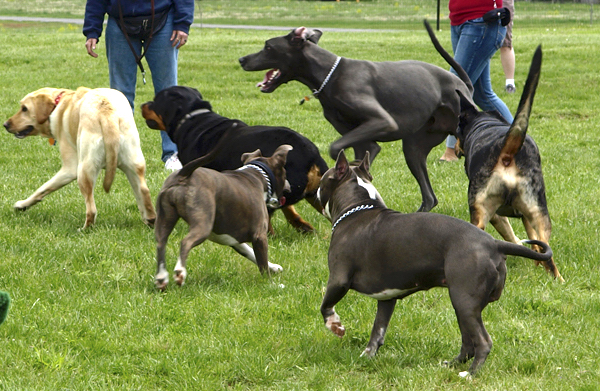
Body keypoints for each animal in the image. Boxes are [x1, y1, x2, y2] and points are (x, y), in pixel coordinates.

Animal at [141, 86, 328, 234]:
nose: (143, 105)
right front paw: (302, 225)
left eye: (155, 101)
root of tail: (312, 154)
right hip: (315, 192)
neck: (191, 117)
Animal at [155, 144, 292, 290]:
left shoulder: (233, 239)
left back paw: (161, 278)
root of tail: (184, 174)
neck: (258, 175)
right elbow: (262, 263)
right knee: (185, 242)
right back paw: (180, 272)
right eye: (285, 172)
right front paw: (271, 284)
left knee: (161, 244)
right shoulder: (259, 235)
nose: (289, 185)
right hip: (203, 224)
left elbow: (251, 253)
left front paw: (274, 267)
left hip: (164, 218)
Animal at [241, 19, 476, 213]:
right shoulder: (361, 138)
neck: (329, 74)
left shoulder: (382, 122)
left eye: (268, 46)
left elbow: (335, 147)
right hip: (413, 148)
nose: (242, 59)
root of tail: (463, 84)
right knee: (429, 197)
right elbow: (365, 151)